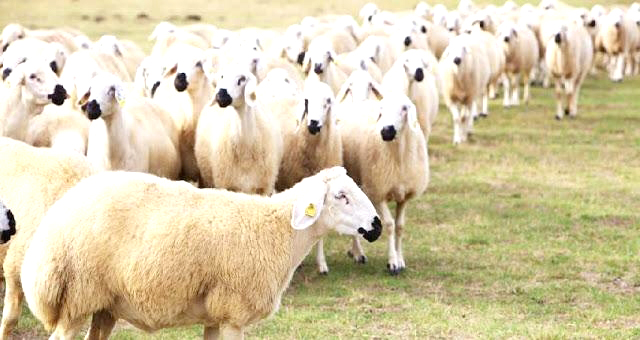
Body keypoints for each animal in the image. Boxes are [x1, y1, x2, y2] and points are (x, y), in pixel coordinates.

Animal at [20, 167, 382, 340]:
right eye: (341, 196)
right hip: (76, 297)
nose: (377, 226)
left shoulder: (214, 315)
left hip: (104, 306)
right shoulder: (235, 313)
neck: (276, 232)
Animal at [338, 92, 428, 274]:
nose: (386, 131)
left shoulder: (404, 196)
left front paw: (400, 260)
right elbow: (389, 225)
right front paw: (392, 263)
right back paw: (358, 253)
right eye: (381, 110)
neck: (398, 157)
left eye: (404, 108)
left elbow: (400, 226)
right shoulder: (377, 192)